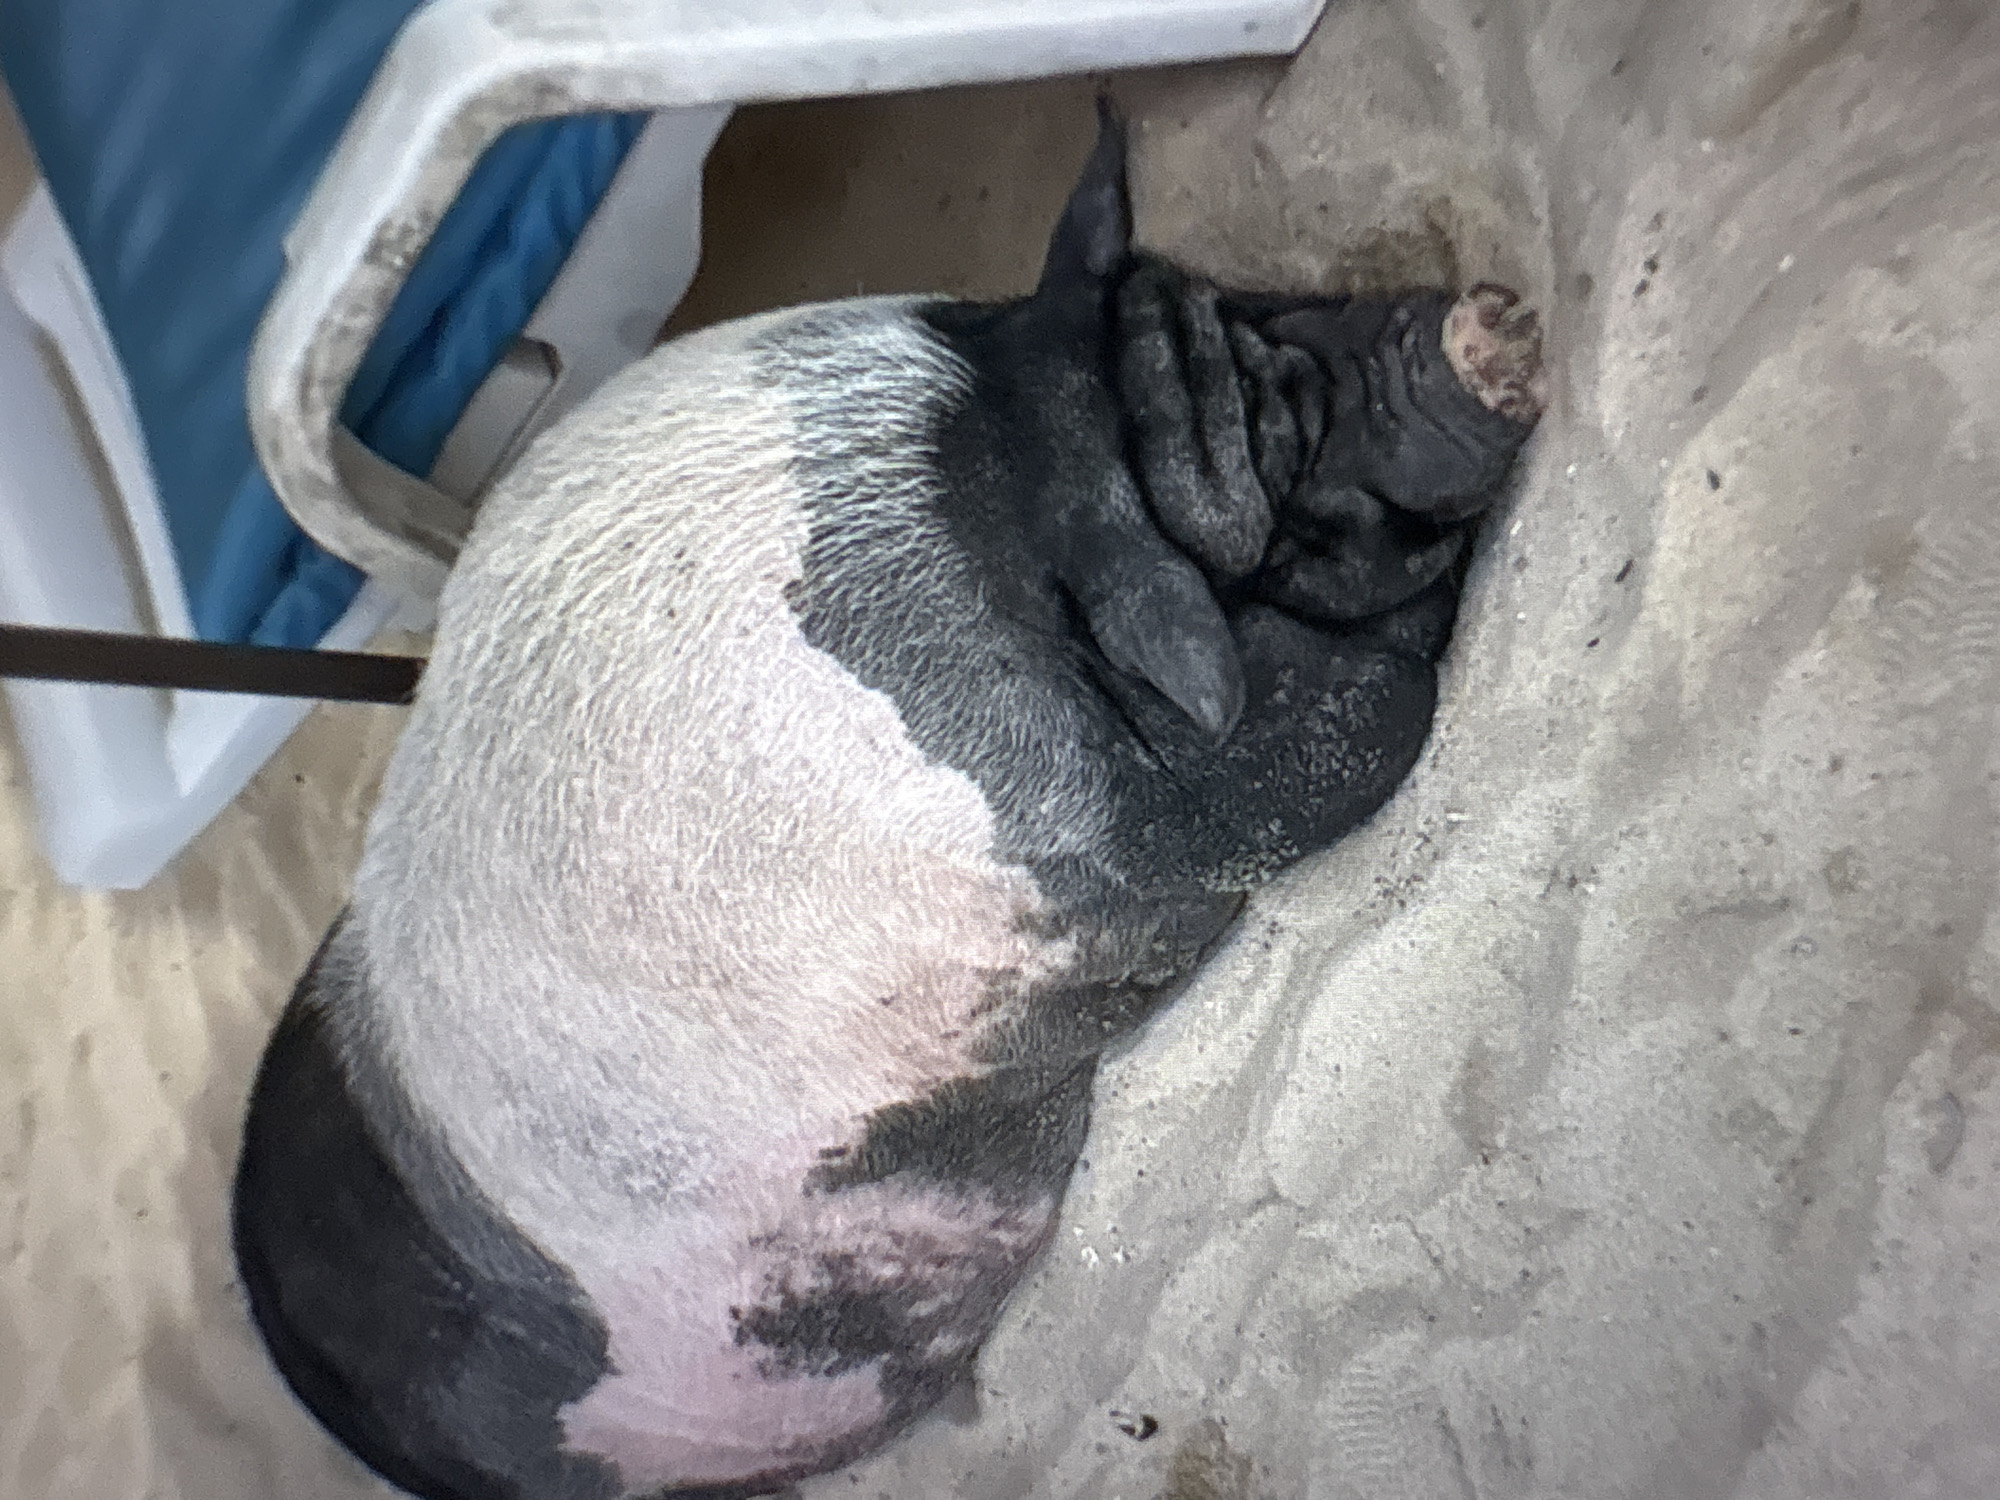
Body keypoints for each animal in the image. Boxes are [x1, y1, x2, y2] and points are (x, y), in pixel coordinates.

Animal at [232, 104, 1544, 1500]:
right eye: (1274, 502)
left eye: (1260, 305)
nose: (1479, 327)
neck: (990, 501)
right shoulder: (1163, 820)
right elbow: (1374, 723)